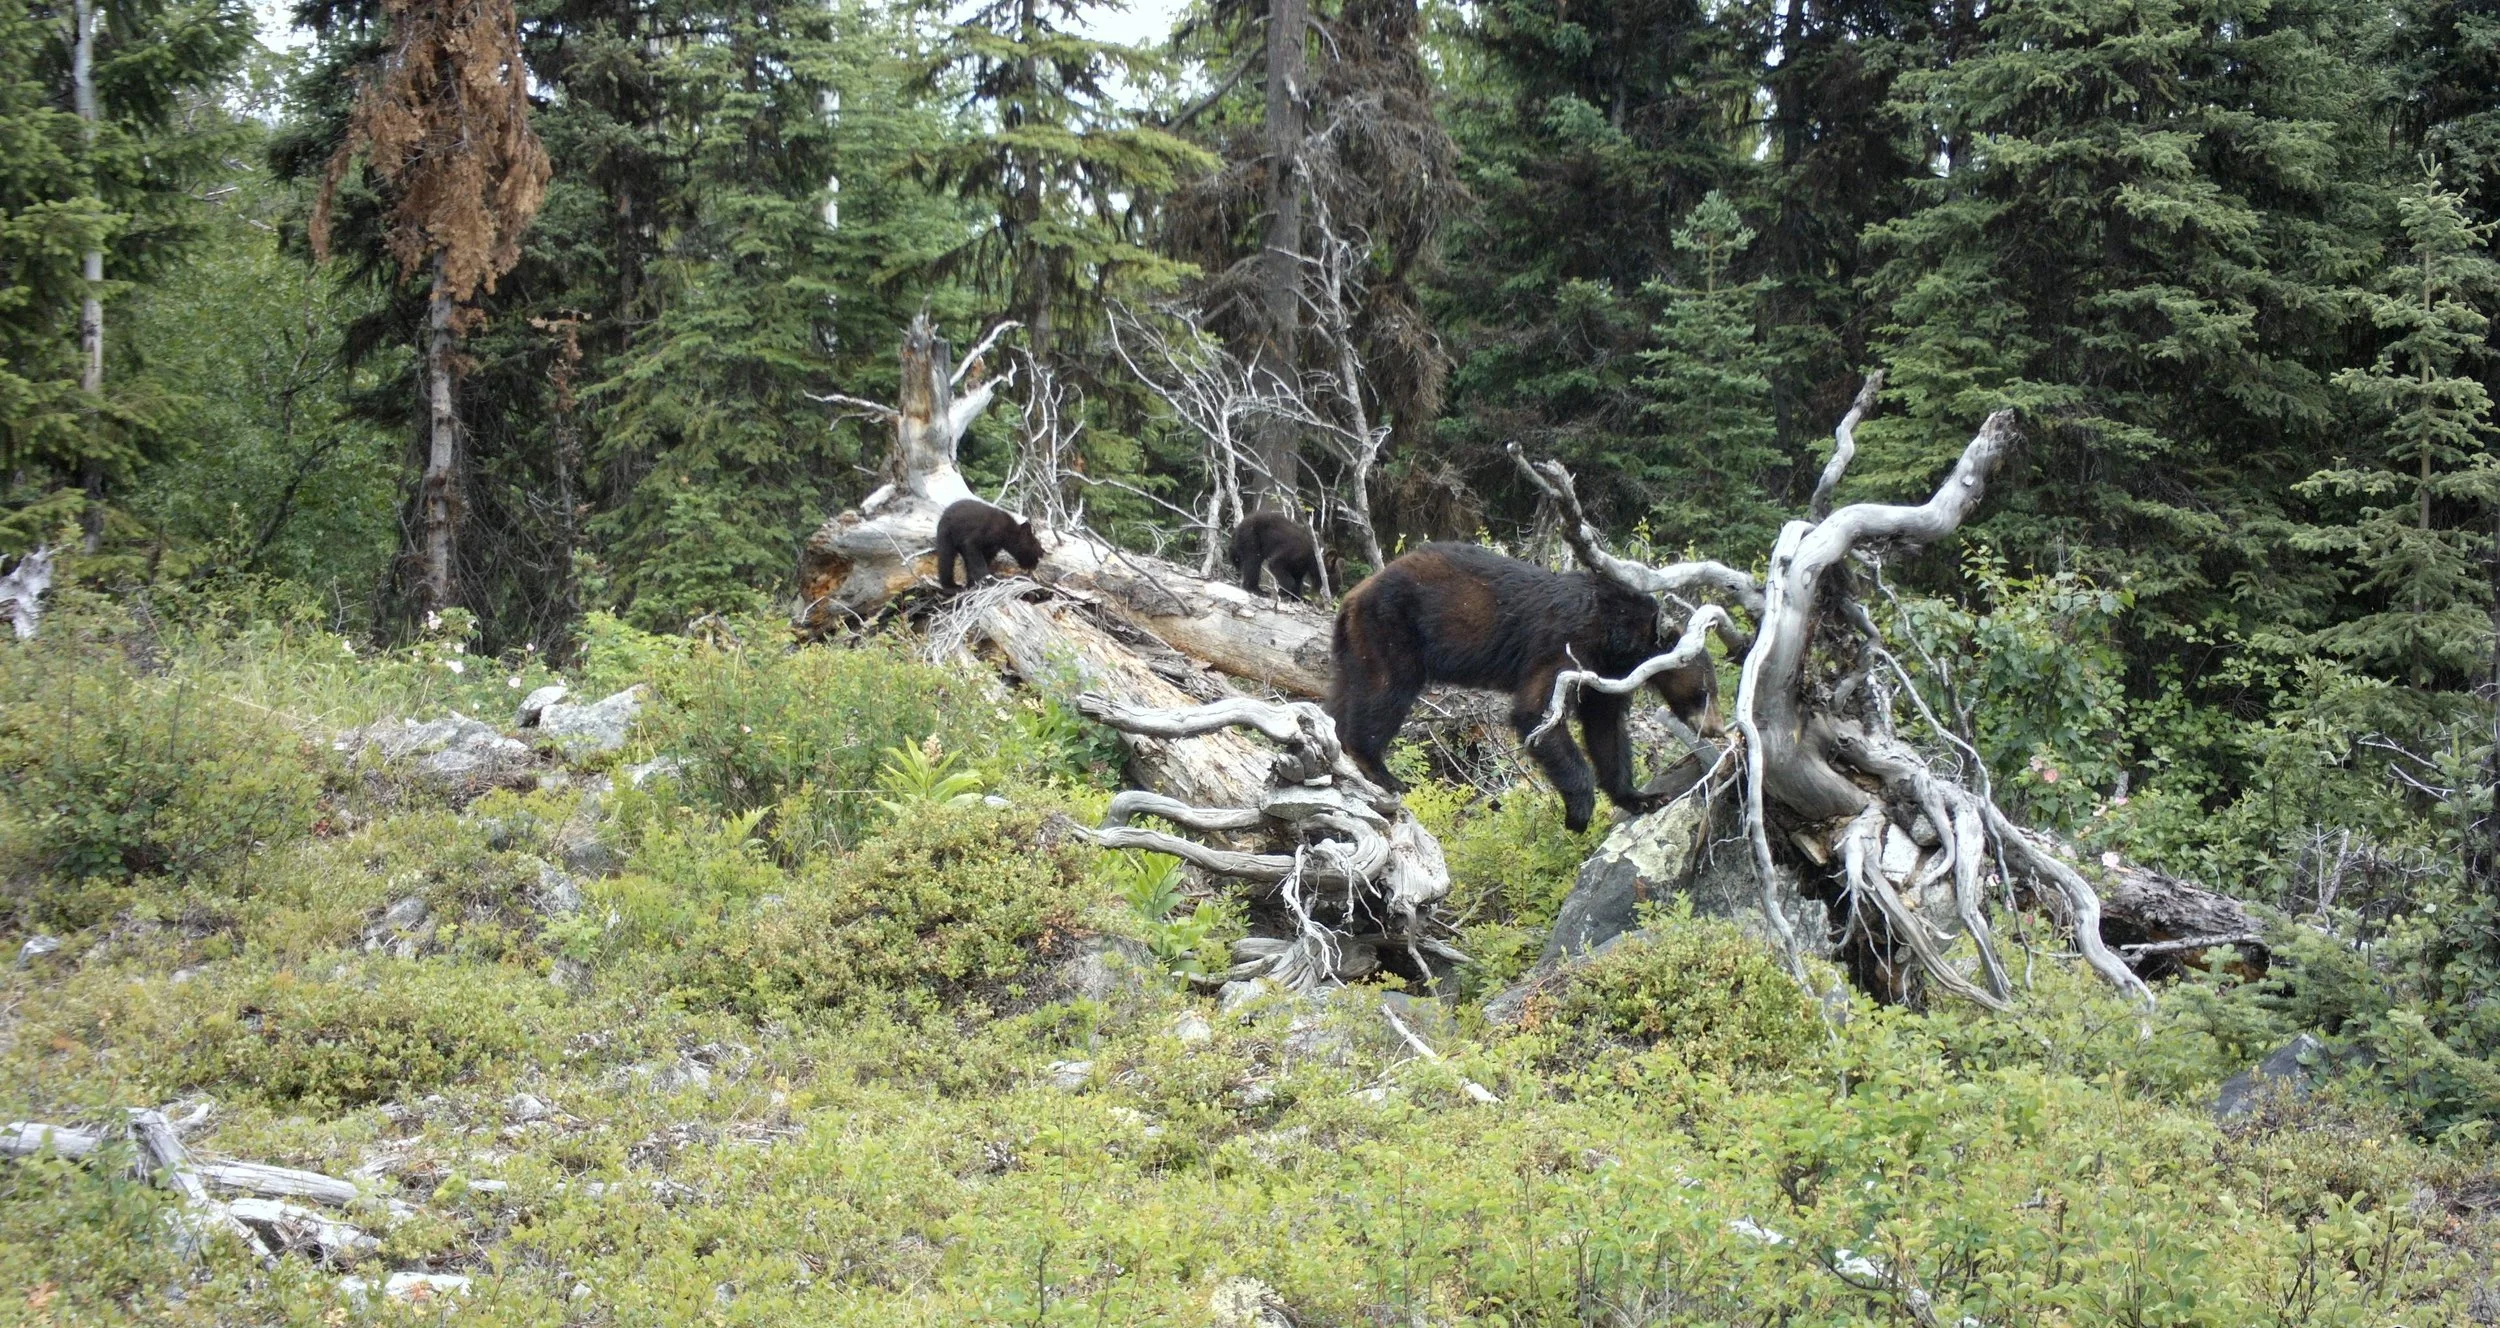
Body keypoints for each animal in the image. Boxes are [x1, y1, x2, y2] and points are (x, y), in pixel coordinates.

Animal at [1325, 542, 1718, 832]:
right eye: (1707, 690)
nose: (1714, 727)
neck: (1618, 633)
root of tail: (1354, 595)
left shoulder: (1606, 674)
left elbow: (1605, 729)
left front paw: (1642, 797)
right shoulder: (1569, 644)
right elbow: (1538, 711)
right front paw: (1579, 811)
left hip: (1354, 645)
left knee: (1344, 694)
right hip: (1391, 631)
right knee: (1384, 692)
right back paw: (1379, 769)